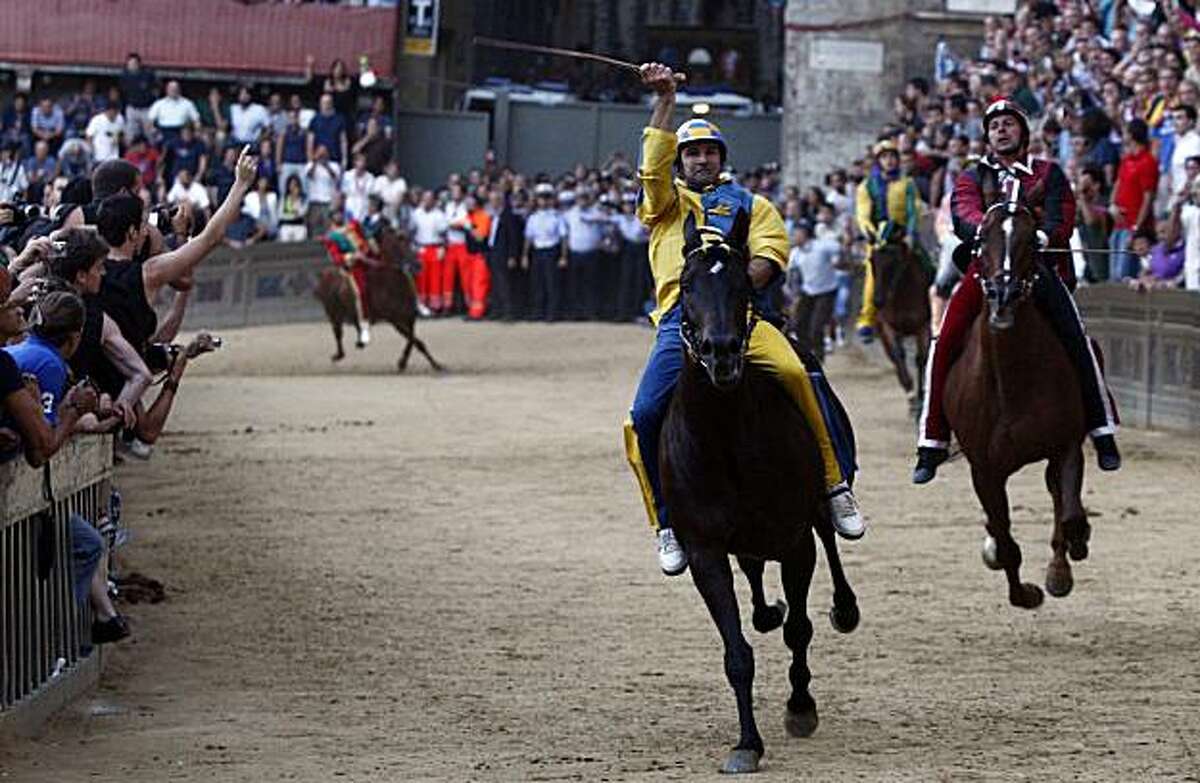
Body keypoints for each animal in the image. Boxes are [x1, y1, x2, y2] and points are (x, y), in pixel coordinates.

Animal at [312, 225, 444, 372]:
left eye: (411, 241)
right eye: (399, 244)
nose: (418, 265)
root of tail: (323, 275)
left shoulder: (409, 317)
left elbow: (413, 340)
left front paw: (430, 364)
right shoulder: (394, 319)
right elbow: (414, 340)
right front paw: (405, 362)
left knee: (355, 323)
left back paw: (360, 340)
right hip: (333, 311)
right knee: (338, 332)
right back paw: (339, 354)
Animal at [657, 211, 864, 773]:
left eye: (743, 284)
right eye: (687, 285)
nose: (722, 352)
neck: (725, 435)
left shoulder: (794, 541)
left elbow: (801, 629)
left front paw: (801, 707)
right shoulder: (705, 549)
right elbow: (737, 653)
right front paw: (747, 742)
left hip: (811, 512)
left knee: (829, 539)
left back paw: (844, 606)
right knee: (752, 571)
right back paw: (766, 610)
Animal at [868, 241, 931, 417]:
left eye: (894, 263)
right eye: (872, 261)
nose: (878, 300)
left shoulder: (923, 326)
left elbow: (921, 358)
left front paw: (921, 398)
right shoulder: (888, 326)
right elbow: (898, 355)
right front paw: (911, 396)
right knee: (894, 357)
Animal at [950, 199, 1094, 607]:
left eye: (1031, 241)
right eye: (983, 238)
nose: (1004, 296)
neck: (1013, 381)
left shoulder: (1065, 445)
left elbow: (1069, 514)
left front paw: (1063, 567)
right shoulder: (984, 470)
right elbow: (1004, 540)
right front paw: (1025, 593)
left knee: (1058, 498)